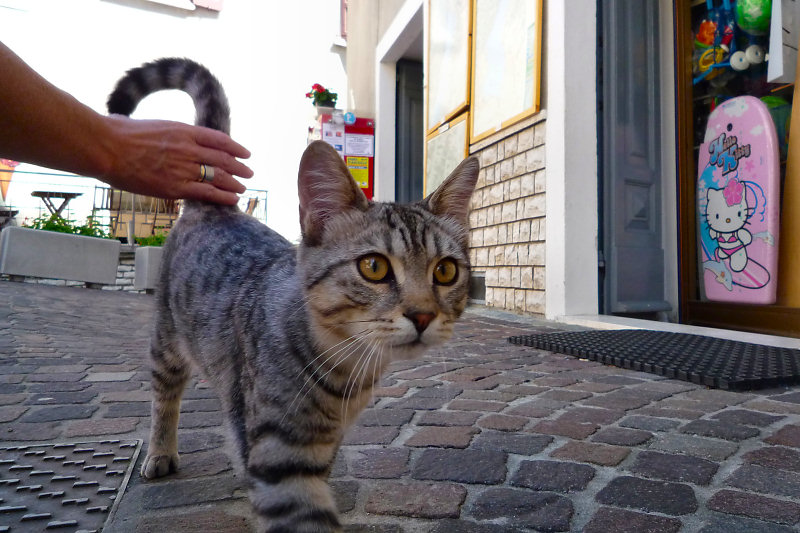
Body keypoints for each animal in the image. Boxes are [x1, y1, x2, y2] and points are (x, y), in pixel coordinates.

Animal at [108, 58, 478, 532]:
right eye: (374, 267)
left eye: (445, 271)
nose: (423, 315)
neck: (345, 368)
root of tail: (214, 207)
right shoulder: (277, 455)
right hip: (166, 342)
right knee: (164, 397)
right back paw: (159, 452)